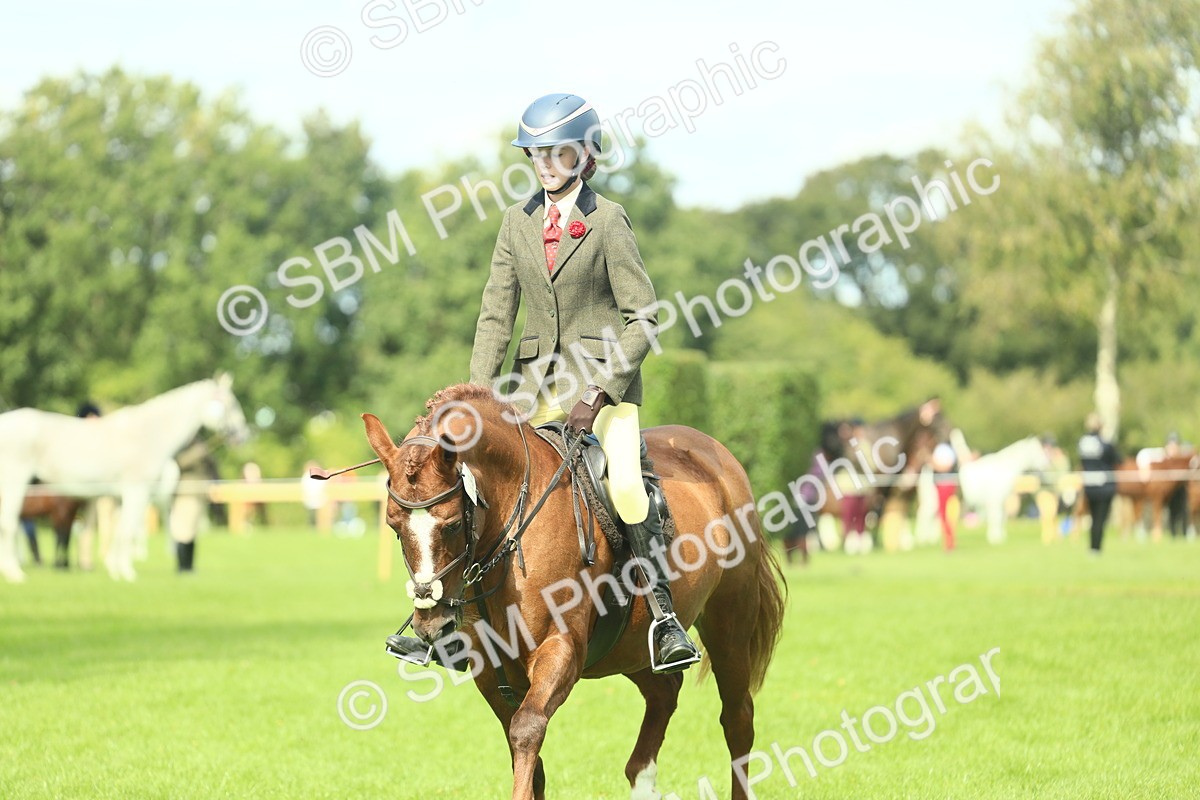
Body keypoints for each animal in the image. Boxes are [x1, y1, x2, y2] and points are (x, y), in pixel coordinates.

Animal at [0, 374, 248, 583]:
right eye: (232, 404)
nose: (242, 434)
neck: (148, 434)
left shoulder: (121, 498)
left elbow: (119, 531)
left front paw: (115, 569)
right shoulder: (137, 492)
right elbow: (128, 531)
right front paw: (127, 573)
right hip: (15, 486)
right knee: (9, 525)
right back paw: (14, 573)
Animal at [359, 383, 786, 800]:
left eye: (449, 525)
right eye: (394, 525)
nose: (432, 627)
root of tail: (718, 456)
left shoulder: (560, 647)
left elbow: (526, 728)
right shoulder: (492, 667)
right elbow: (528, 759)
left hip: (729, 623)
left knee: (738, 719)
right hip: (630, 644)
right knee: (664, 693)